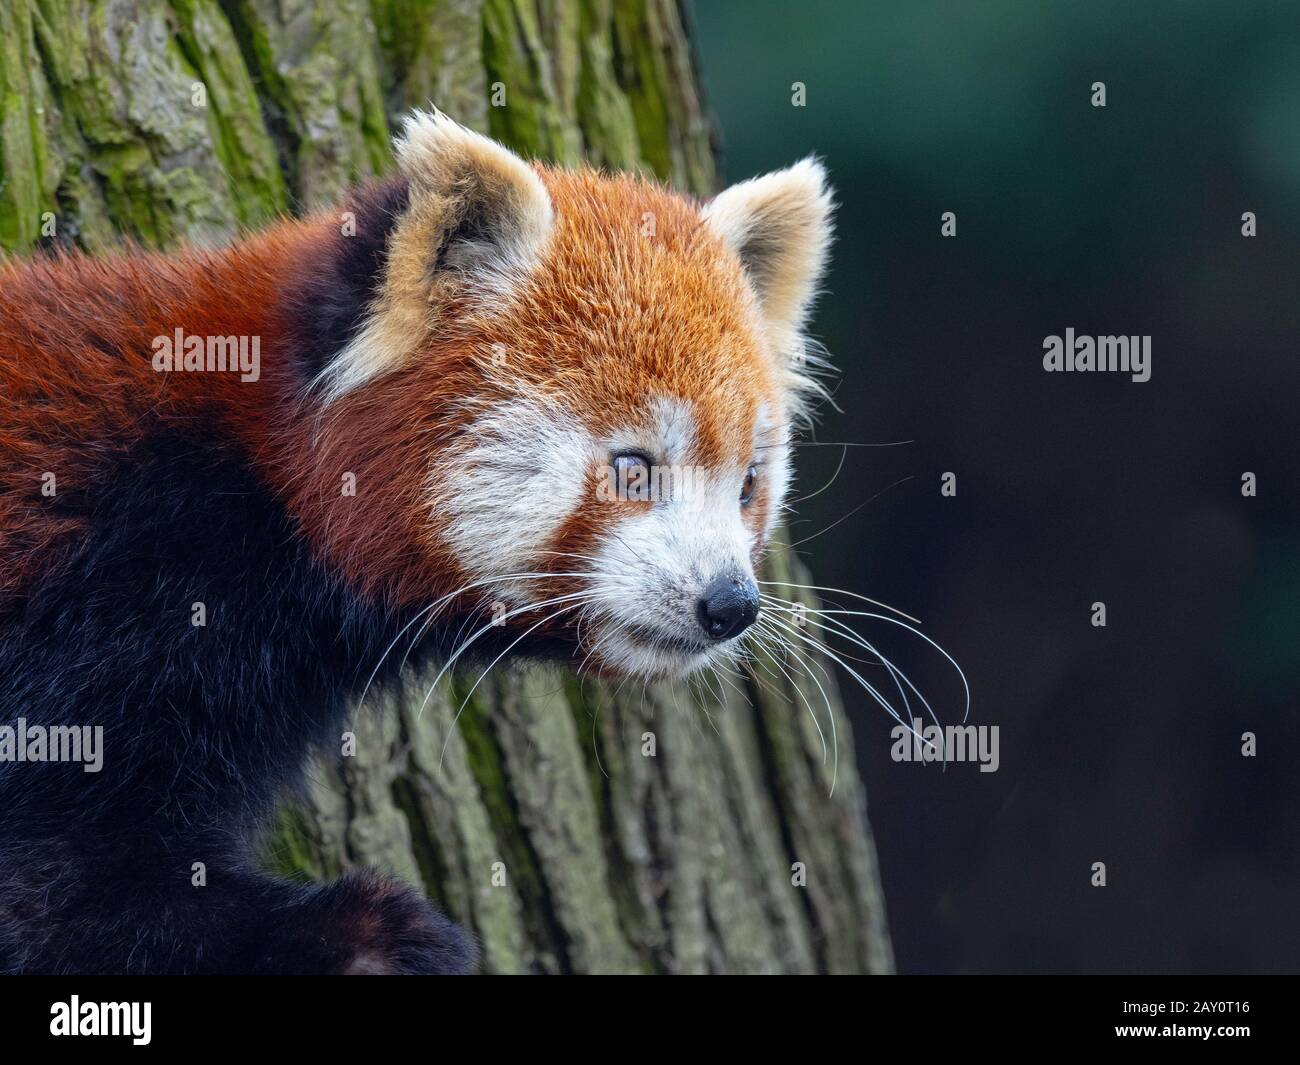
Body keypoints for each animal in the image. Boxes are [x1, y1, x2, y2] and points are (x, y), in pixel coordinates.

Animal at [0, 110, 832, 972]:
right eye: (633, 469)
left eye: (748, 484)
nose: (730, 603)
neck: (247, 478)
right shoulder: (102, 608)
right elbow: (62, 886)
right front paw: (364, 933)